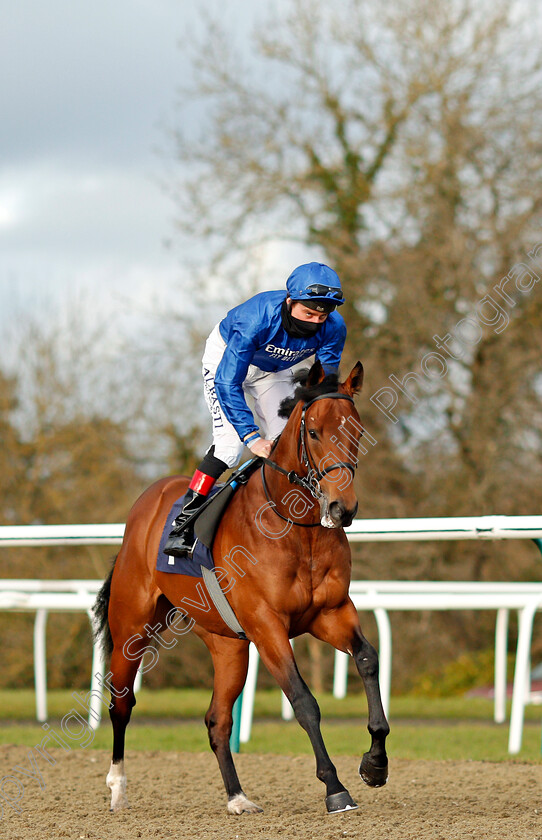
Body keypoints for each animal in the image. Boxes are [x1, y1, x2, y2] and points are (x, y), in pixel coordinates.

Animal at [94, 360, 392, 812]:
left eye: (356, 430)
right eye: (313, 432)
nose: (343, 508)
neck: (296, 528)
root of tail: (146, 502)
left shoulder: (330, 614)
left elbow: (368, 659)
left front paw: (375, 763)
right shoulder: (267, 626)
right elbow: (303, 701)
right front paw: (335, 787)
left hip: (227, 645)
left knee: (217, 719)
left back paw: (237, 797)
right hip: (132, 627)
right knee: (122, 702)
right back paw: (117, 787)